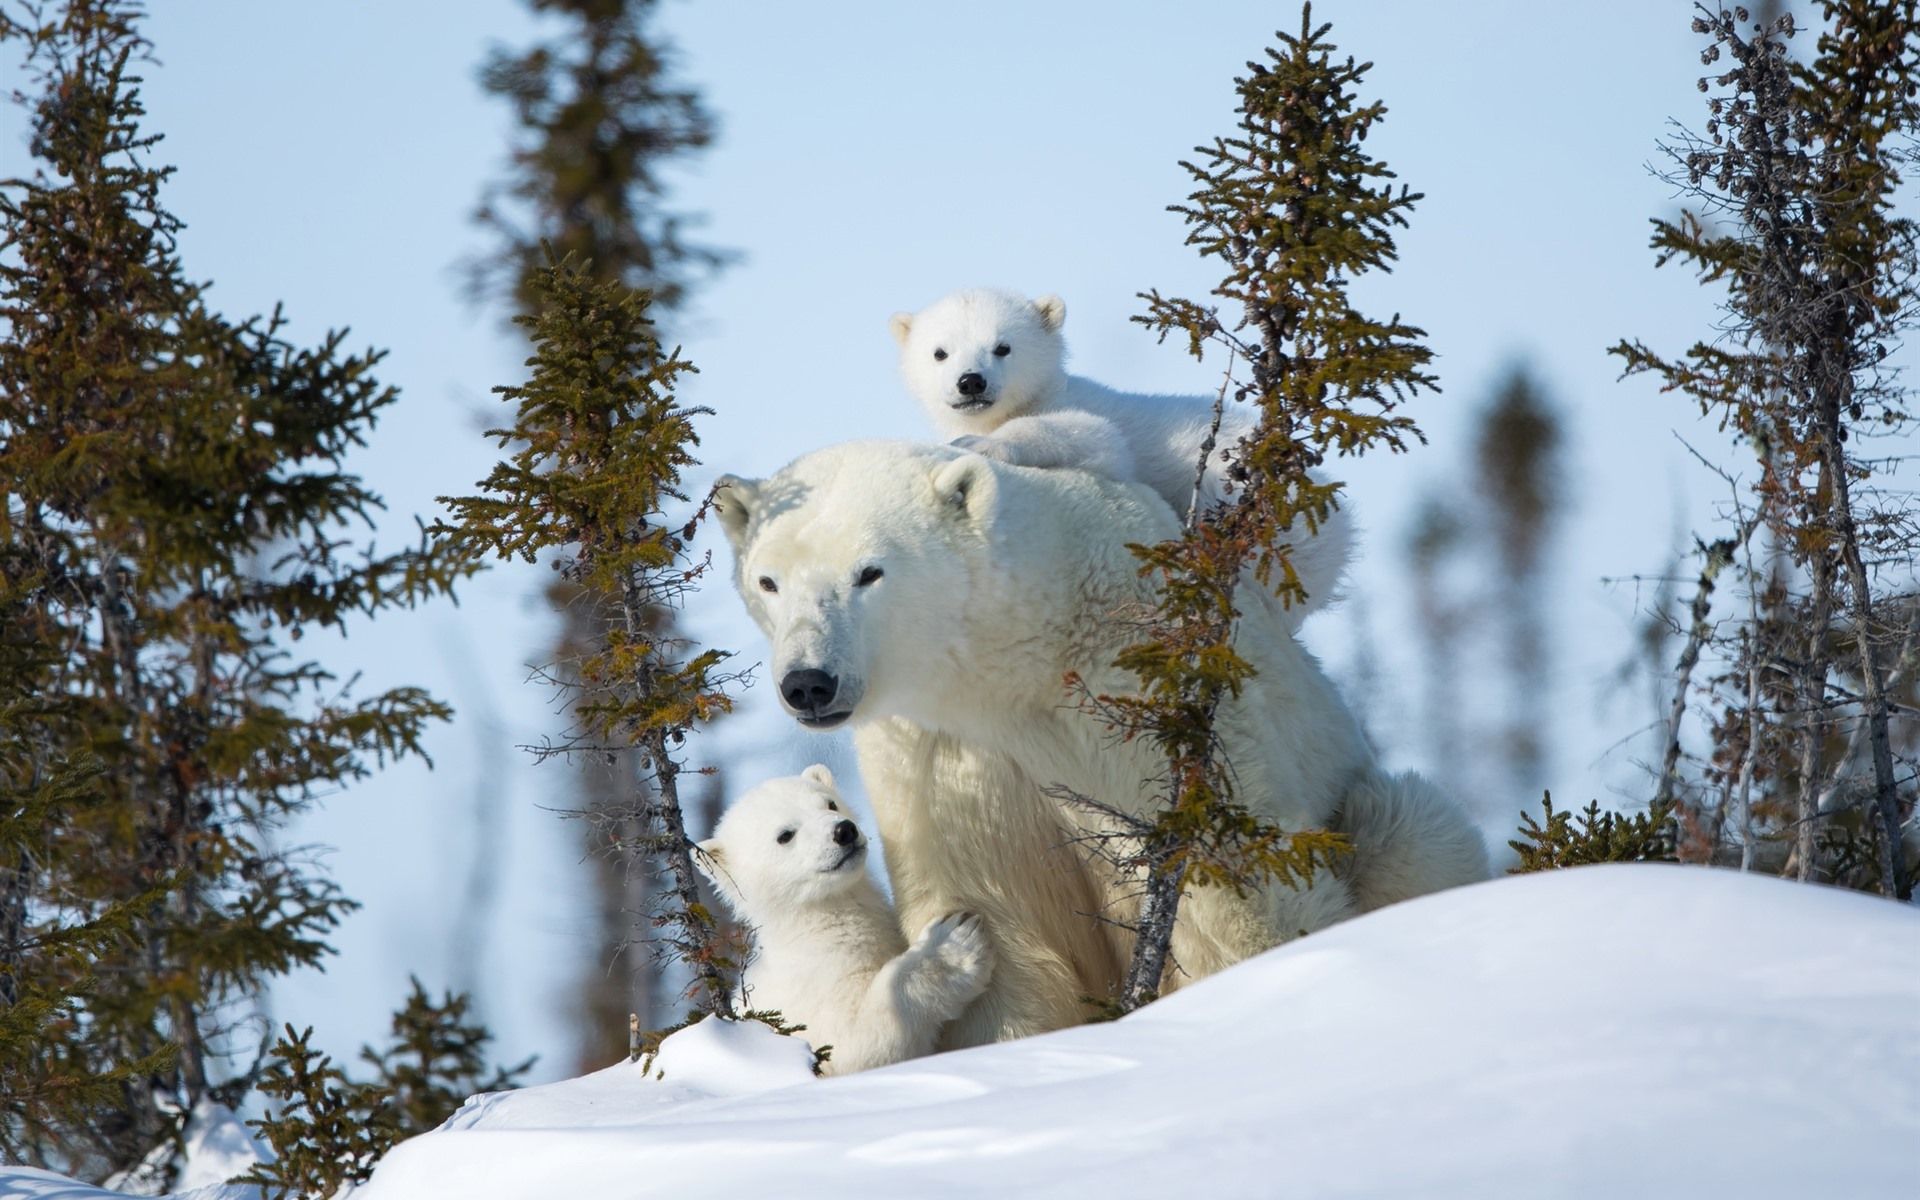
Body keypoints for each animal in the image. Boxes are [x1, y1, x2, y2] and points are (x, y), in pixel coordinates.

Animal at [695, 764, 990, 1075]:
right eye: (785, 834)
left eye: (830, 803)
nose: (844, 830)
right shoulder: (814, 999)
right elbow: (858, 1043)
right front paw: (953, 943)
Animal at [718, 445, 1482, 1044]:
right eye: (768, 581)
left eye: (870, 572)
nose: (808, 682)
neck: (1020, 663)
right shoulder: (944, 755)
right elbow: (1001, 915)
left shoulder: (1150, 686)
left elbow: (1234, 875)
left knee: (1410, 824)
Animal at [894, 286, 1351, 622]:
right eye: (940, 352)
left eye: (1003, 347)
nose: (971, 381)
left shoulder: (1085, 413)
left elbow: (1097, 436)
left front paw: (977, 444)